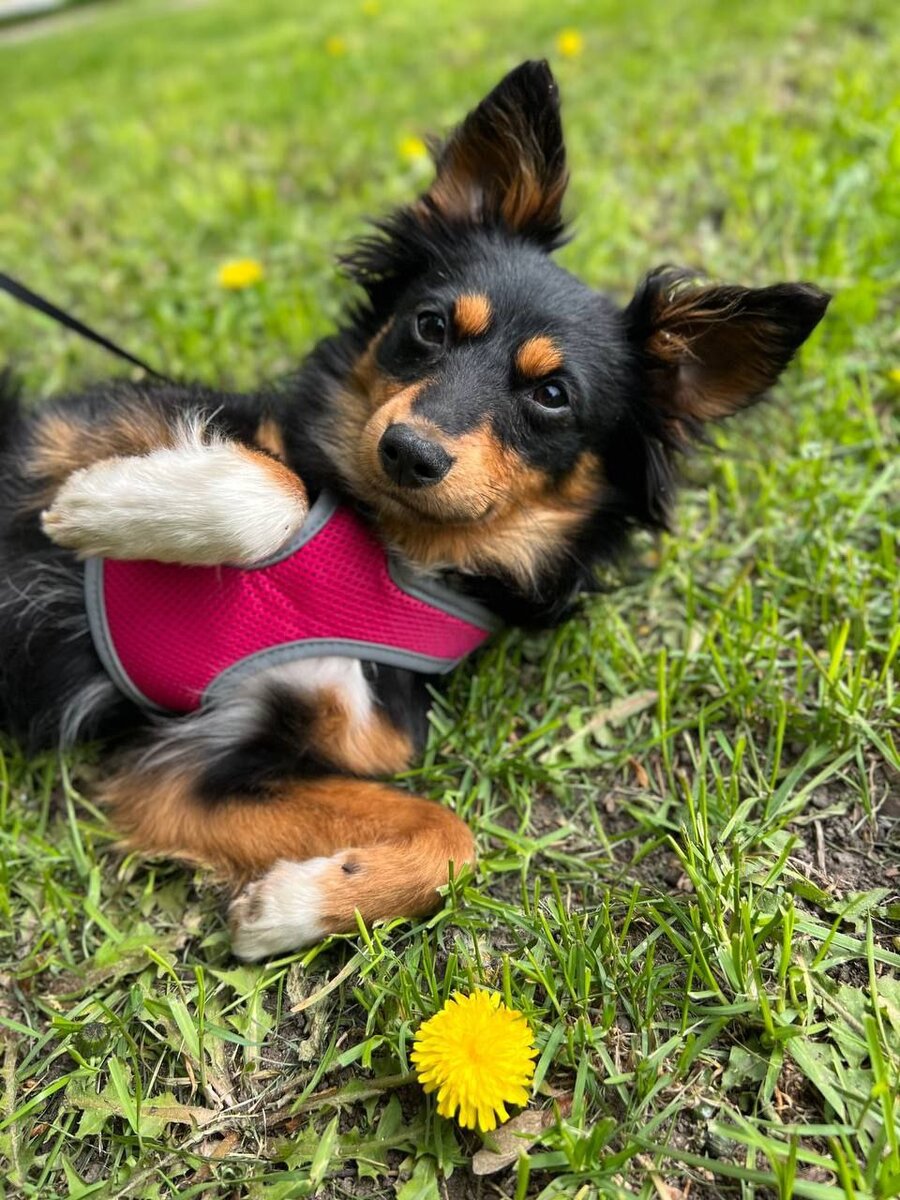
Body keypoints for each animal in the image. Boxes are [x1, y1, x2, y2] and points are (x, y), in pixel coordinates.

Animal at [0, 63, 830, 955]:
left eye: (552, 395)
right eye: (429, 325)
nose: (408, 452)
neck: (385, 554)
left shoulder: (204, 764)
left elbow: (451, 838)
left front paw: (285, 908)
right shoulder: (77, 432)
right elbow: (276, 483)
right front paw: (100, 503)